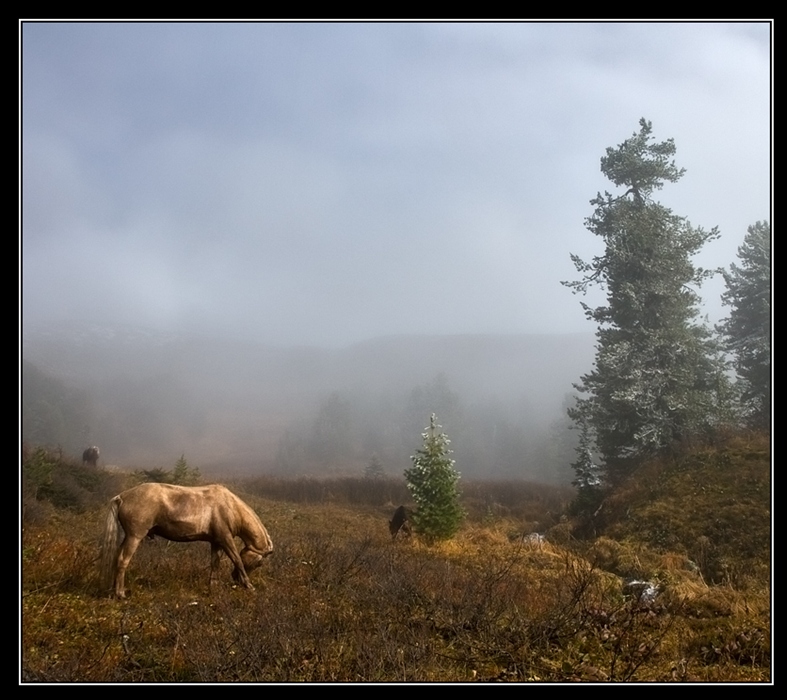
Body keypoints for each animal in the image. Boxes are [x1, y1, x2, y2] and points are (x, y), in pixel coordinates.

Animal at [98, 484, 274, 600]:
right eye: (259, 563)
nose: (235, 579)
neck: (230, 506)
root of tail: (121, 497)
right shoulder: (226, 539)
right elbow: (237, 560)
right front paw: (249, 586)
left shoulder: (216, 542)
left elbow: (215, 564)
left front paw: (213, 587)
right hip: (134, 537)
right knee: (123, 560)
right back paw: (120, 593)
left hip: (128, 537)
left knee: (117, 556)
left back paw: (113, 589)